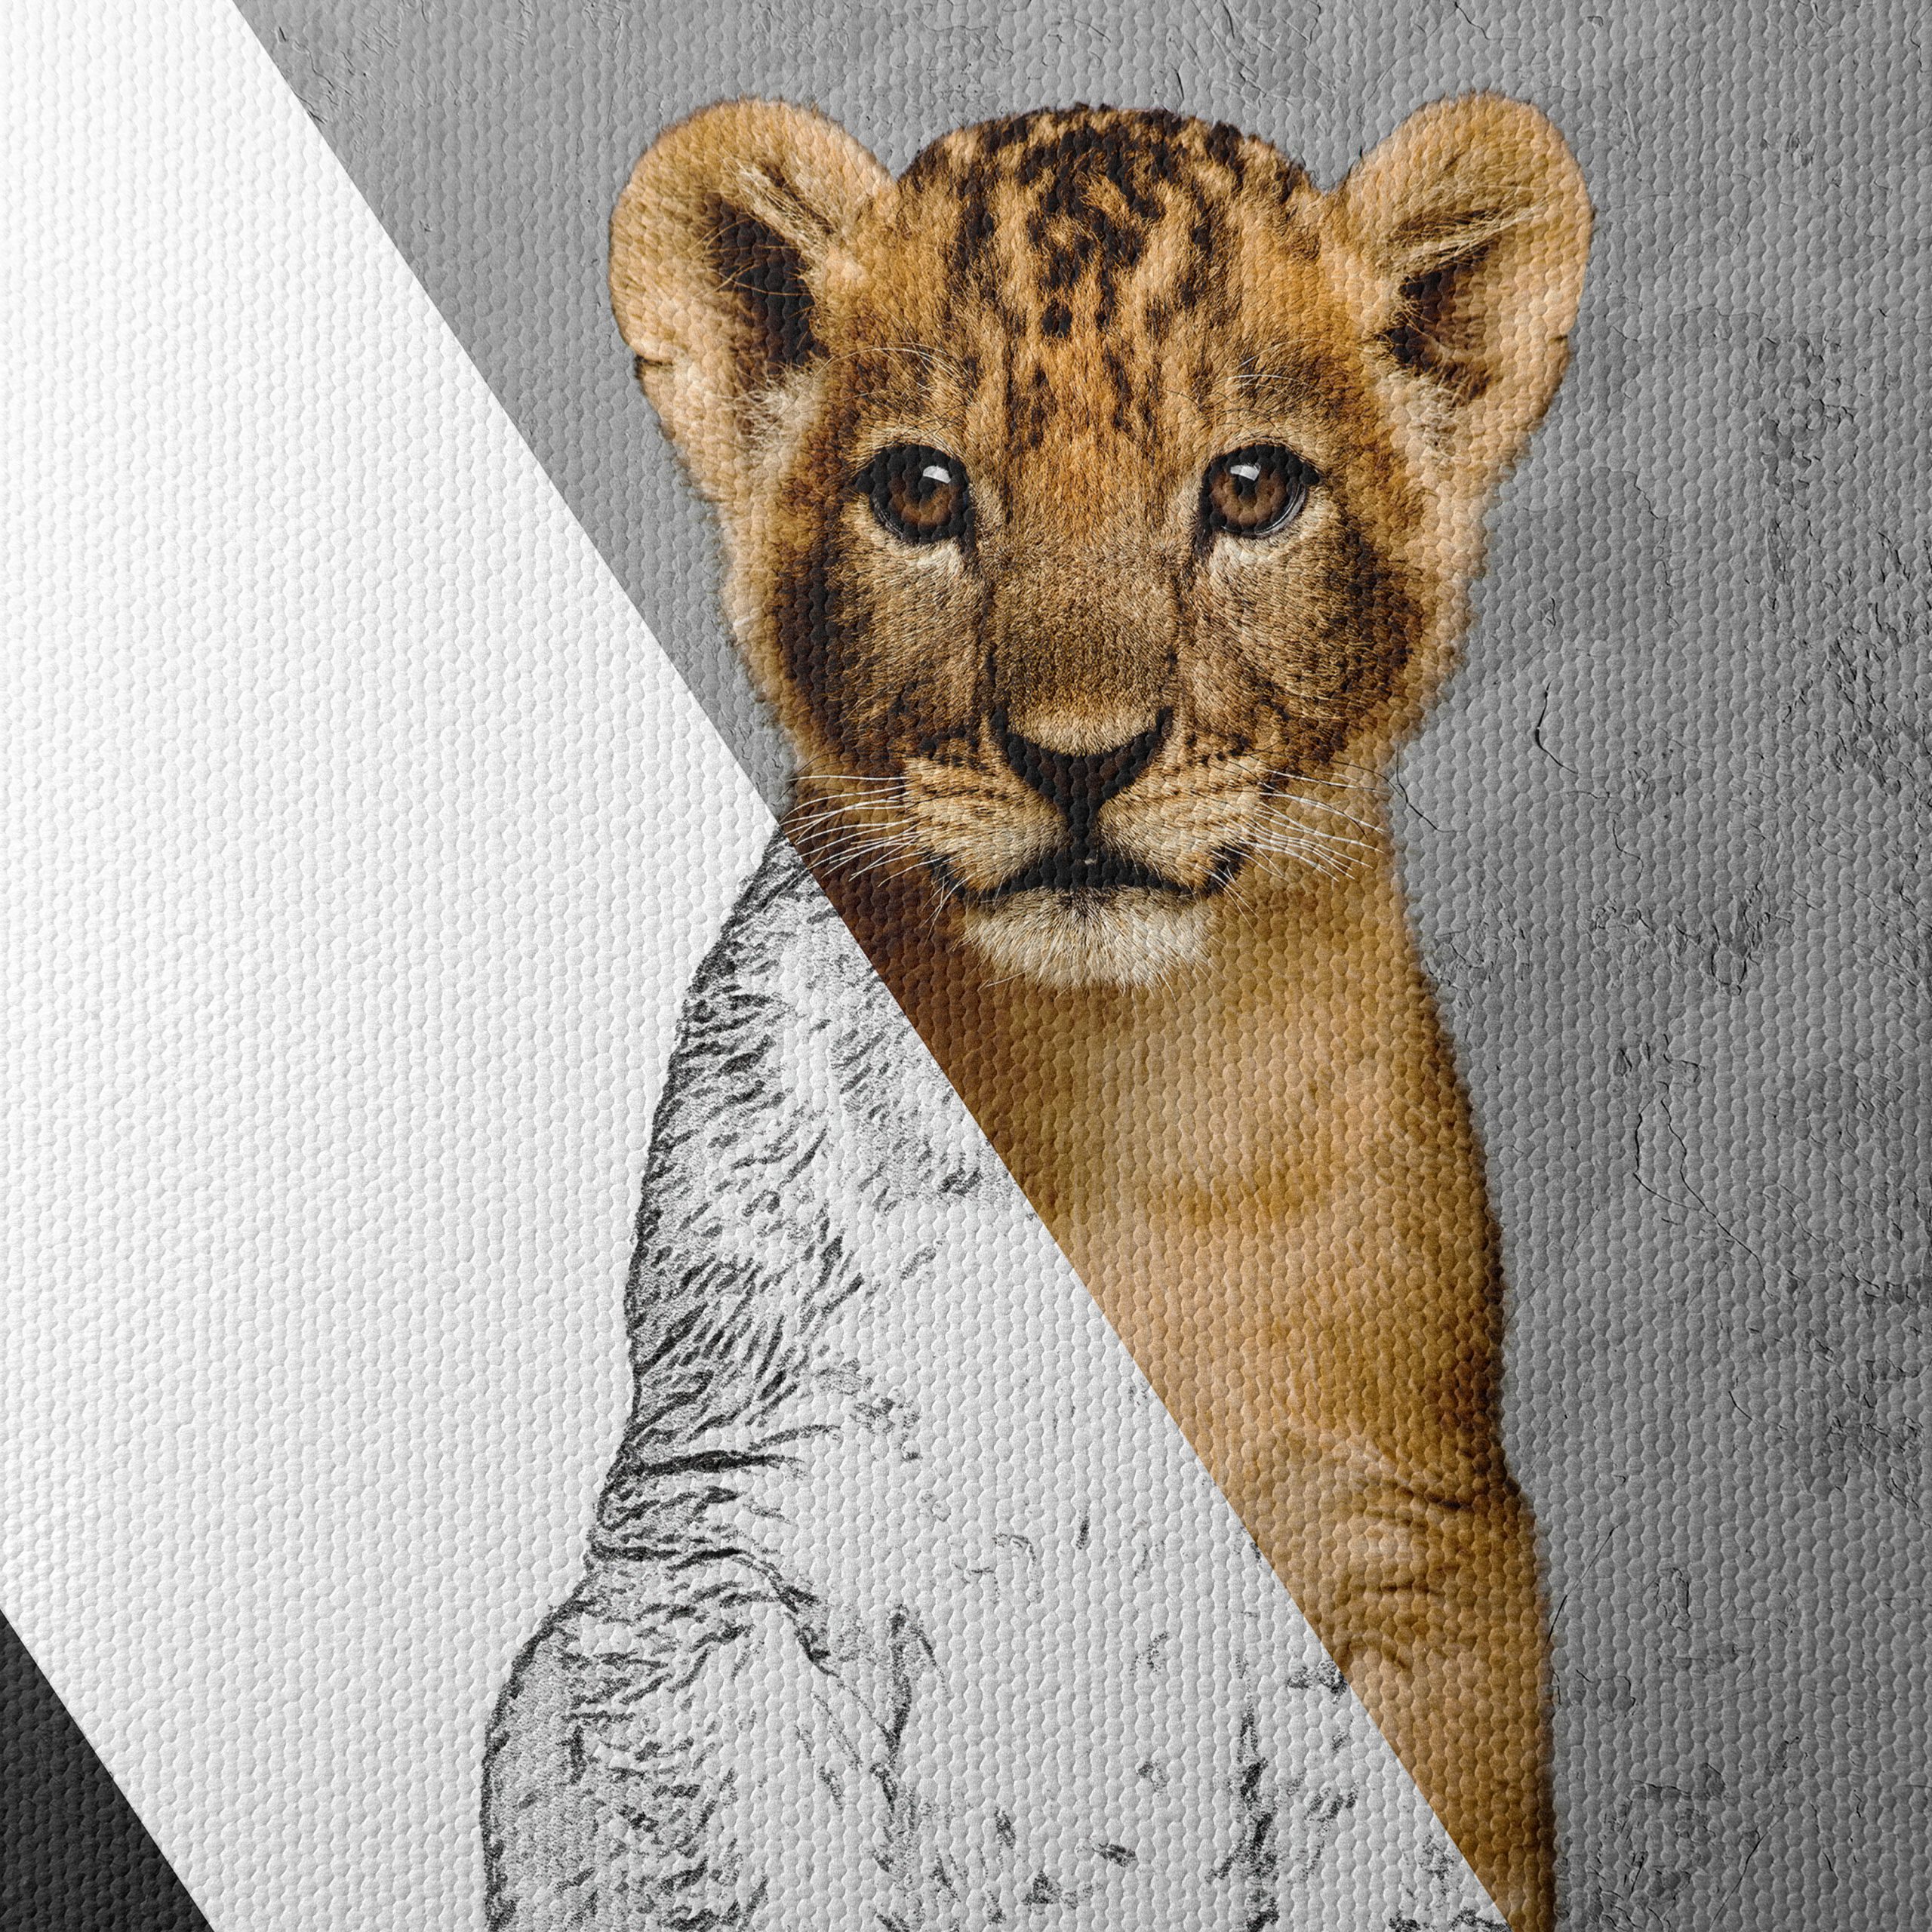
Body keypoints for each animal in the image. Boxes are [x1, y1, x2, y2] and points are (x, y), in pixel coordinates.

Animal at [589, 95, 1589, 1928]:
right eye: (920, 492)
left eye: (1251, 488)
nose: (1078, 756)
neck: (1091, 1100)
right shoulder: (709, 1549)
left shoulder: (1413, 1549)